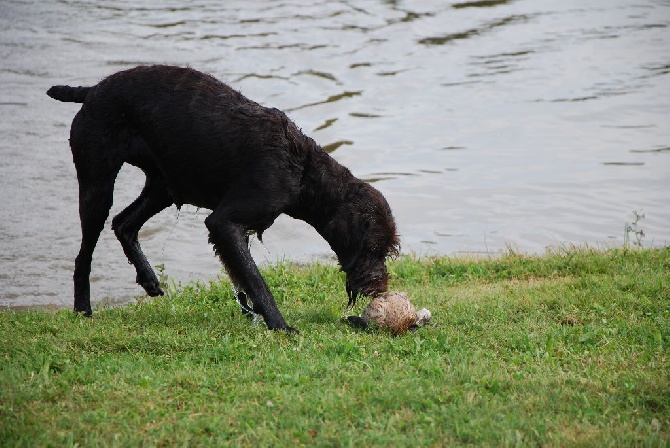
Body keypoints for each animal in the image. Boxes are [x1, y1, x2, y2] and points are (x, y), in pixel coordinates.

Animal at [48, 66, 400, 332]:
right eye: (373, 248)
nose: (380, 289)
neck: (303, 171)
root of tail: (92, 90)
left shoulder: (230, 229)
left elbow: (240, 276)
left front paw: (251, 312)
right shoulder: (225, 221)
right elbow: (256, 280)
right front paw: (279, 325)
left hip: (163, 186)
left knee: (124, 224)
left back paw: (148, 280)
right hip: (97, 185)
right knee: (84, 255)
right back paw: (82, 309)